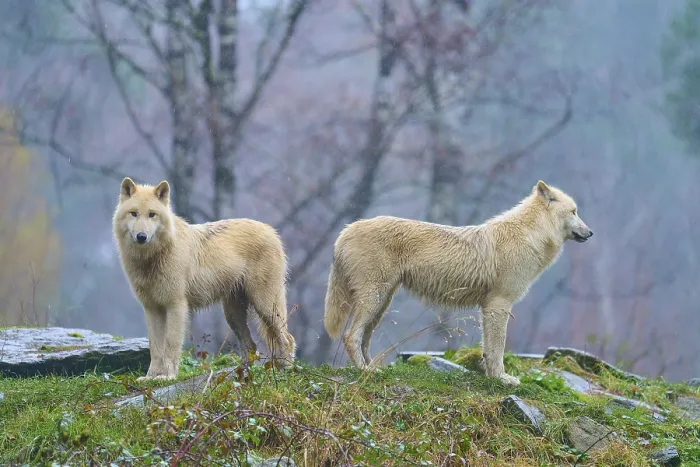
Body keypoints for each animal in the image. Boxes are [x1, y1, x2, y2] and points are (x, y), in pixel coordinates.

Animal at [113, 177, 296, 380]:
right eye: (134, 214)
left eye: (152, 215)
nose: (141, 236)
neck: (152, 258)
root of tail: (271, 230)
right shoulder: (152, 308)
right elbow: (156, 348)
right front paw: (151, 377)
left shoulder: (176, 305)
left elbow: (171, 344)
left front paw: (167, 376)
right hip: (233, 314)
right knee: (251, 345)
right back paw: (241, 376)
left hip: (265, 306)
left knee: (287, 338)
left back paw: (286, 371)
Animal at [323, 180, 593, 385]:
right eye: (574, 211)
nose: (590, 233)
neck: (530, 235)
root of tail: (345, 231)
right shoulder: (499, 304)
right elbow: (498, 348)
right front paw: (502, 379)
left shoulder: (489, 307)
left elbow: (488, 348)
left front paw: (492, 377)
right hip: (374, 299)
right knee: (350, 336)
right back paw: (365, 371)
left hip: (381, 302)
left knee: (364, 339)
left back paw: (375, 368)